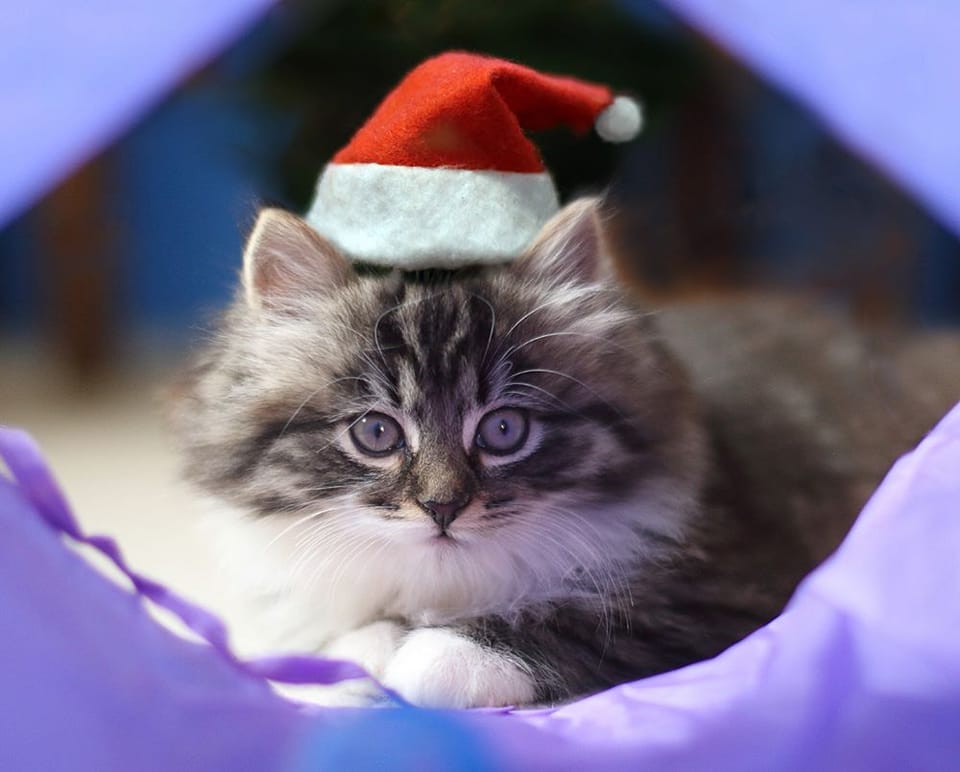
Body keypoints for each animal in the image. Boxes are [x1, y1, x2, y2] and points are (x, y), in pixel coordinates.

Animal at [172, 198, 960, 704]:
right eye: (376, 433)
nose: (442, 507)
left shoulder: (727, 590)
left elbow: (561, 624)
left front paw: (435, 654)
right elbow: (335, 634)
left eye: (503, 431)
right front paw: (371, 650)